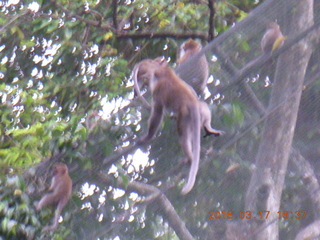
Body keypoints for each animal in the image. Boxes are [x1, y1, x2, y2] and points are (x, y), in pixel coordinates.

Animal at [132, 58, 222, 195]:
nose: (140, 71)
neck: (162, 72)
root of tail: (193, 105)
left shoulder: (158, 90)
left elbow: (157, 113)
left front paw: (147, 137)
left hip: (185, 117)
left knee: (183, 137)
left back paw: (189, 159)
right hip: (202, 111)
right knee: (203, 109)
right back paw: (208, 129)